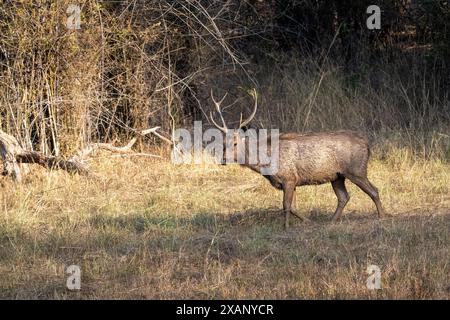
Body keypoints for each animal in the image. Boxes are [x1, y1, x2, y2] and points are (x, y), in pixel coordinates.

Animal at [209, 89, 384, 229]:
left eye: (235, 142)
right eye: (223, 143)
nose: (222, 159)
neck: (266, 164)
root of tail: (367, 144)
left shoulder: (289, 177)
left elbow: (286, 205)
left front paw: (286, 227)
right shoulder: (292, 182)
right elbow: (292, 207)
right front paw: (306, 222)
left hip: (356, 170)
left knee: (374, 190)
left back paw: (382, 216)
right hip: (337, 176)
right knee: (343, 197)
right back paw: (332, 221)